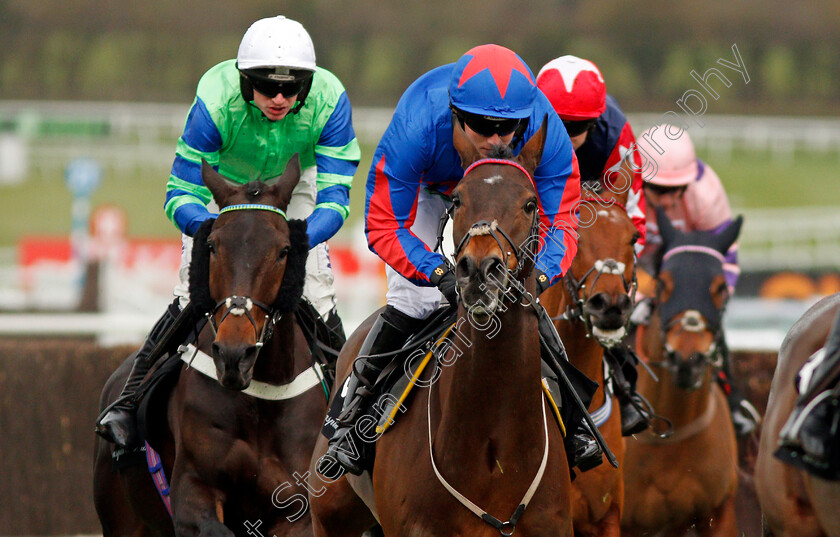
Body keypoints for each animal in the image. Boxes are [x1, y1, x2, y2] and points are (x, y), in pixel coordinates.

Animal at [92, 155, 328, 536]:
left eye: (284, 251)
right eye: (213, 245)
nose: (234, 355)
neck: (259, 399)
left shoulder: (297, 508)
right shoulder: (193, 488)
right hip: (121, 516)